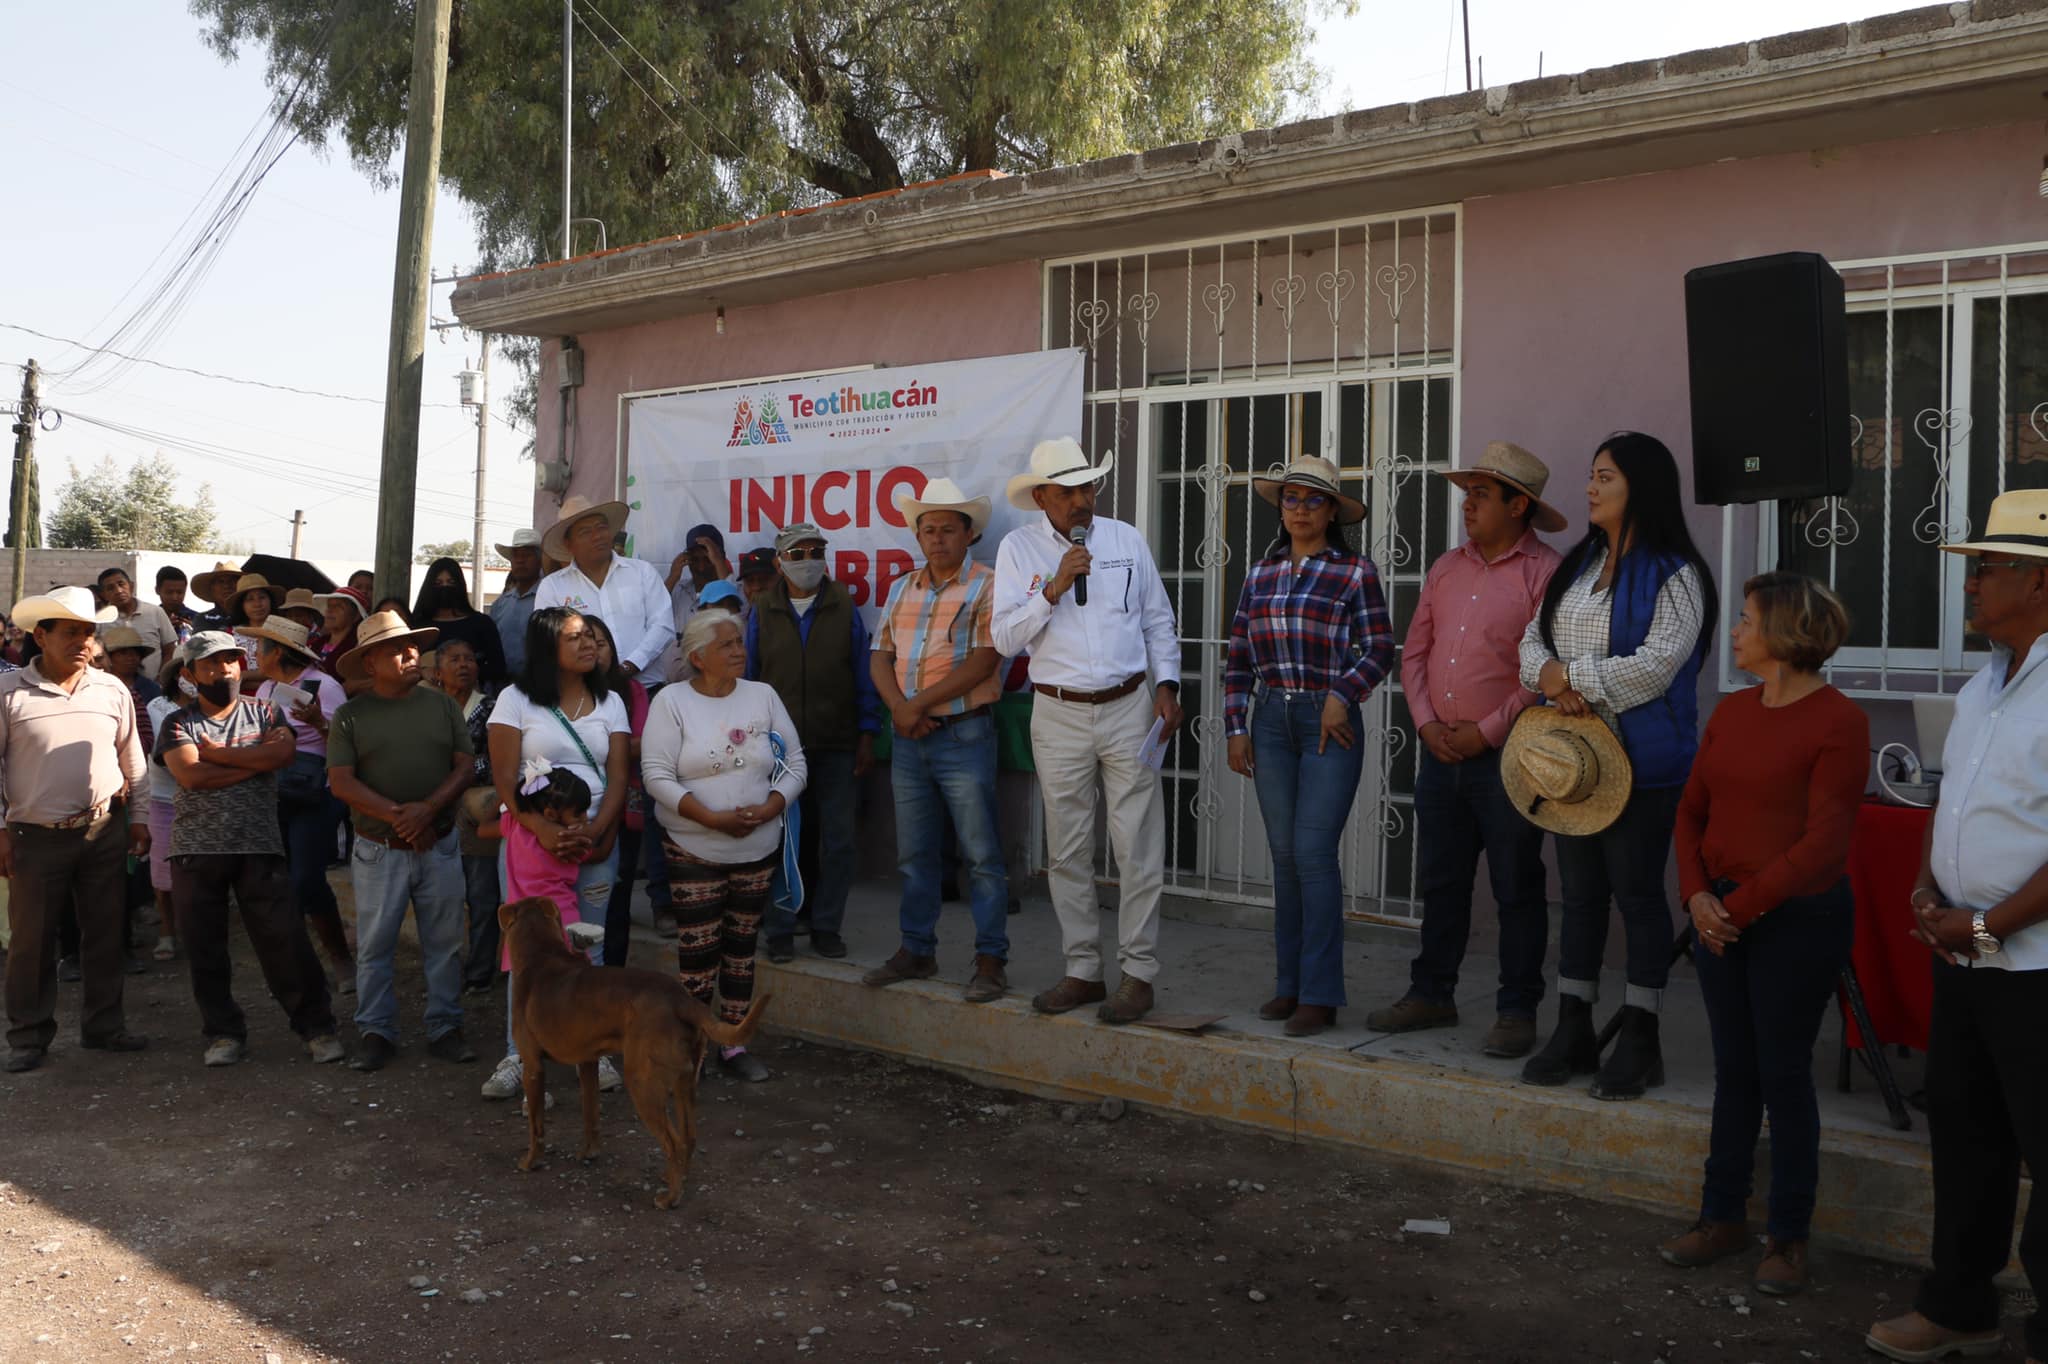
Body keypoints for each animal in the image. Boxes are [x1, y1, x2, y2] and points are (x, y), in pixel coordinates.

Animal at [495, 897, 770, 1204]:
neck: (540, 956)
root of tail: (682, 1000)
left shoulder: (532, 1065)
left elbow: (536, 1124)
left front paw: (530, 1161)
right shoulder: (587, 1063)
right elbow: (590, 1113)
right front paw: (588, 1153)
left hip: (642, 1083)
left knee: (673, 1142)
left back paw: (669, 1198)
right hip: (685, 1082)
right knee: (689, 1136)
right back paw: (677, 1178)